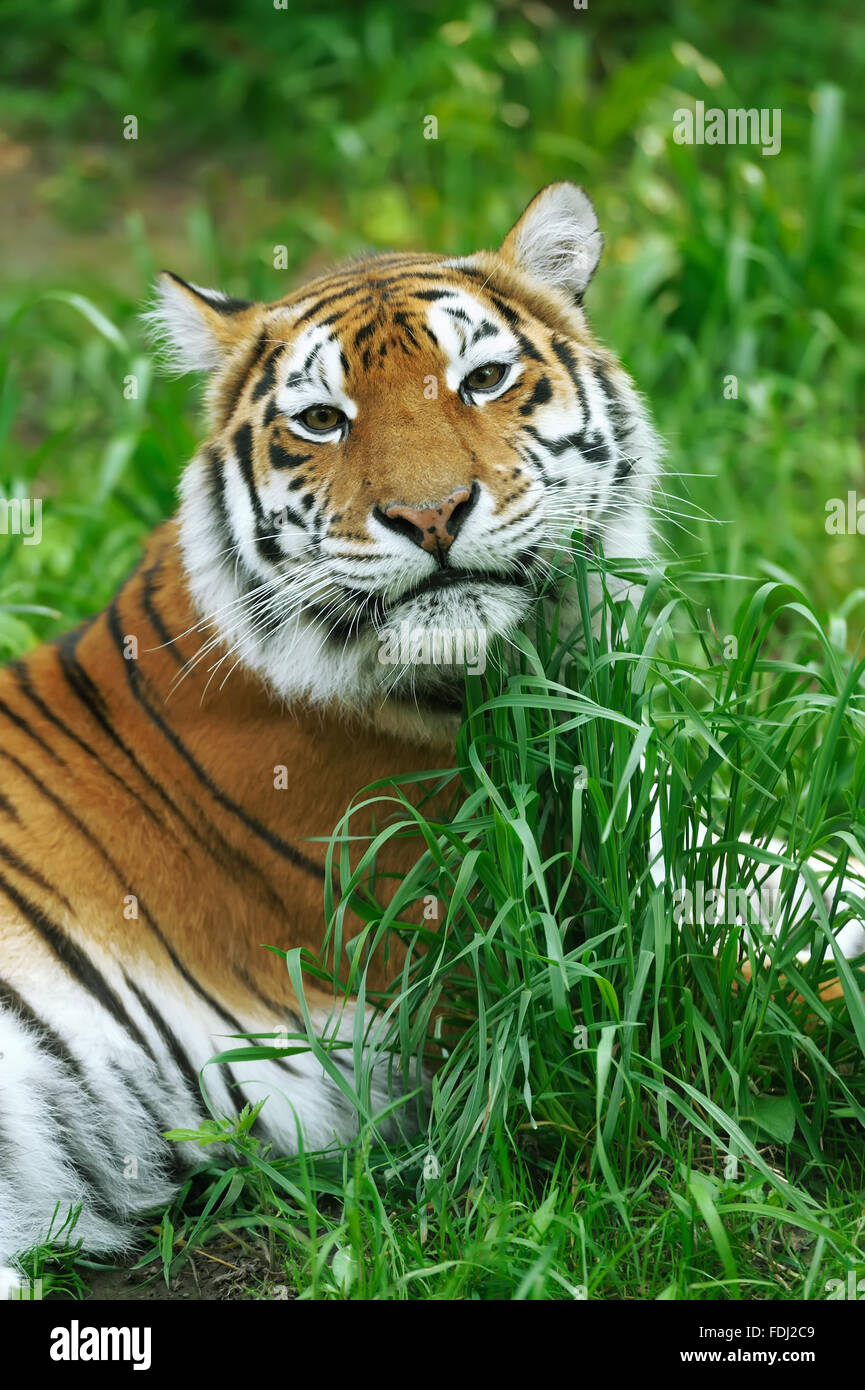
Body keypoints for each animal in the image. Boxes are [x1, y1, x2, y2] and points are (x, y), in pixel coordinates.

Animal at [1, 184, 865, 1289]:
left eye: (483, 379)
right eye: (321, 420)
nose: (429, 515)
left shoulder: (641, 846)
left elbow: (809, 874)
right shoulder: (510, 965)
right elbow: (796, 987)